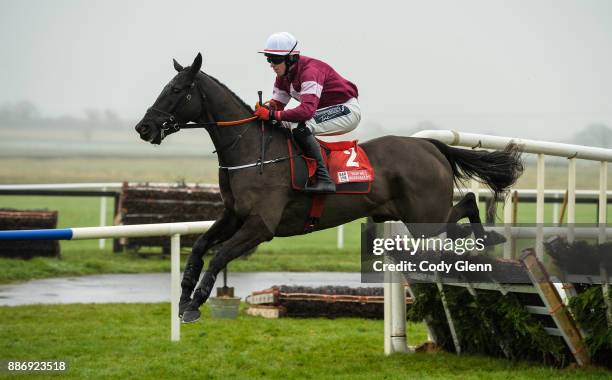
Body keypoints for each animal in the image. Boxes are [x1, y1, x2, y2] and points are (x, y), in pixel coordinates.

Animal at [134, 53, 520, 324]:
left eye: (176, 90)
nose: (144, 127)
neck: (250, 151)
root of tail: (428, 145)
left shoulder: (261, 225)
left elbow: (219, 256)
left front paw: (195, 303)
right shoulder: (234, 215)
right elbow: (199, 248)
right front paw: (184, 297)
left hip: (423, 216)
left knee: (466, 201)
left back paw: (488, 237)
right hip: (412, 216)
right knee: (459, 215)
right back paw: (486, 239)